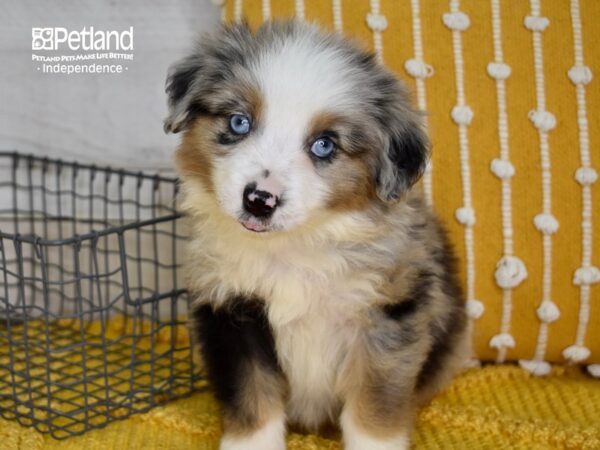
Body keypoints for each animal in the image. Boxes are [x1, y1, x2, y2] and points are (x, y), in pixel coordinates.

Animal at [164, 19, 468, 448]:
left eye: (324, 145)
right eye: (239, 122)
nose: (259, 200)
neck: (293, 247)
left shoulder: (389, 314)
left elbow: (374, 404)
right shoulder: (232, 310)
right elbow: (252, 395)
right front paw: (252, 443)